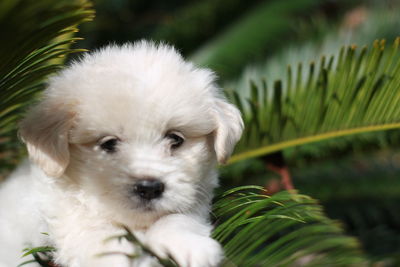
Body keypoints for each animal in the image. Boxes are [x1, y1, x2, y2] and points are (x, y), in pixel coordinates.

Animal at [0, 42, 244, 267]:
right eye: (108, 144)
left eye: (175, 139)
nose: (149, 188)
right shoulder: (67, 216)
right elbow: (98, 238)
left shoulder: (194, 198)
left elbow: (176, 217)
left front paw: (189, 245)